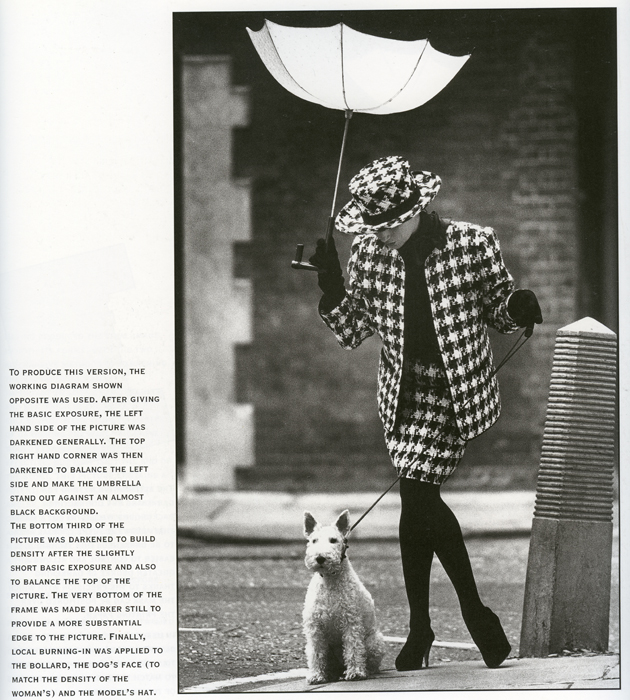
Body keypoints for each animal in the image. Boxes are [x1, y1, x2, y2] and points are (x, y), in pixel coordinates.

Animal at [302, 509, 385, 684]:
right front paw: (316, 675)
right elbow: (316, 652)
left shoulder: (350, 622)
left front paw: (355, 672)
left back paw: (364, 671)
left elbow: (353, 648)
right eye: (313, 540)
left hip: (375, 642)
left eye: (333, 540)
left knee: (369, 660)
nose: (320, 558)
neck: (329, 580)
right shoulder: (315, 627)